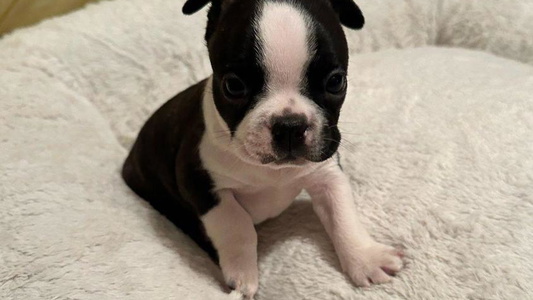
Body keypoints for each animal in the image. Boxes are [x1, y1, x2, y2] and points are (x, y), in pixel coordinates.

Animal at [121, 0, 404, 296]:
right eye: (233, 86)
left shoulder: (326, 175)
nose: (289, 125)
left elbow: (342, 214)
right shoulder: (198, 181)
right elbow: (236, 223)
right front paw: (243, 275)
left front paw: (366, 258)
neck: (274, 172)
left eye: (335, 81)